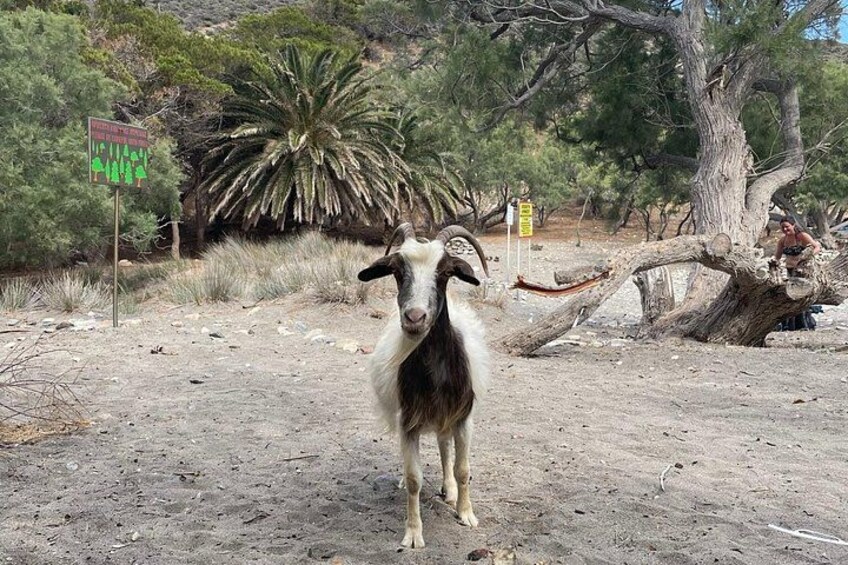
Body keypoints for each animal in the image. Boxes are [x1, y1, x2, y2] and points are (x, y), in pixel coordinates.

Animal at [357, 223, 490, 549]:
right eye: (396, 271)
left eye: (445, 272)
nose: (415, 318)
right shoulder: (408, 422)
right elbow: (414, 478)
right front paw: (413, 534)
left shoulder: (463, 418)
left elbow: (463, 469)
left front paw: (466, 513)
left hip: (446, 420)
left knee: (444, 448)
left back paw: (449, 490)